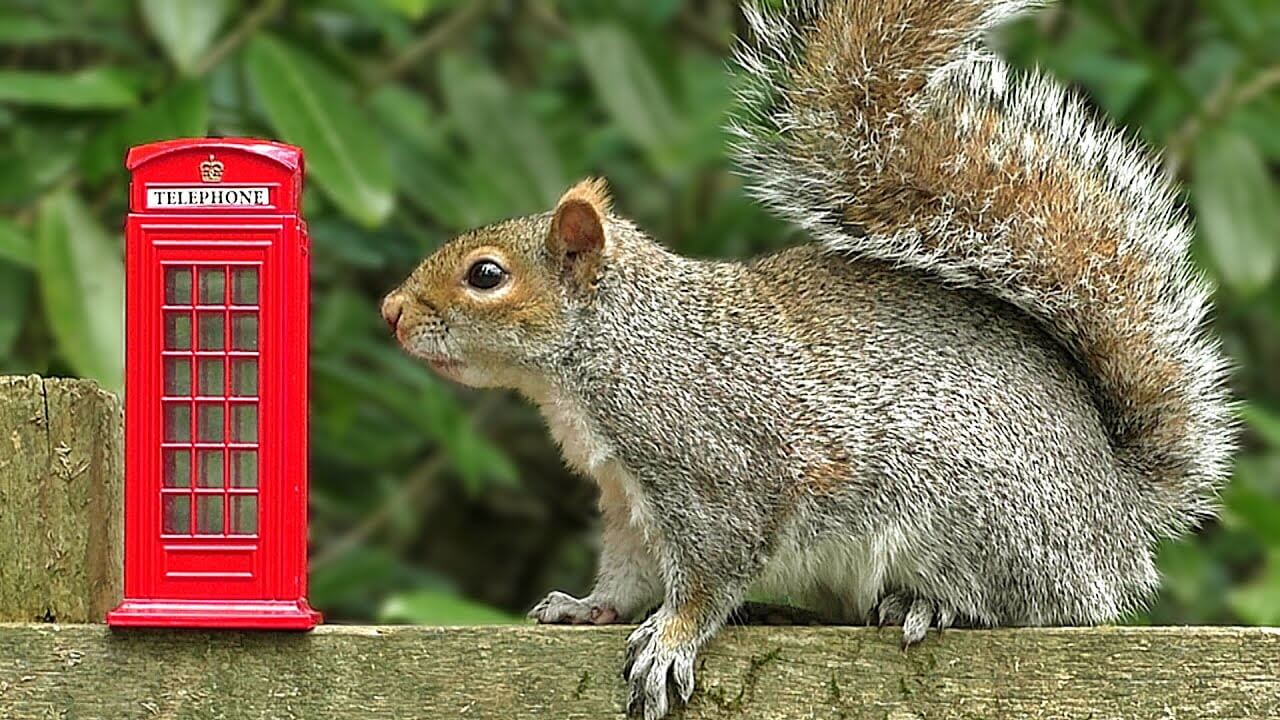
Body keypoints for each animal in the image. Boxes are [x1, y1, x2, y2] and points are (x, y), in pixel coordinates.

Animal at [381, 2, 1239, 712]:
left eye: (486, 275)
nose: (390, 312)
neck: (618, 344)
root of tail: (1118, 513)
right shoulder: (627, 500)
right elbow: (628, 573)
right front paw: (588, 607)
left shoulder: (710, 468)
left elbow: (711, 570)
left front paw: (671, 639)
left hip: (975, 515)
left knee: (1018, 605)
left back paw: (928, 604)